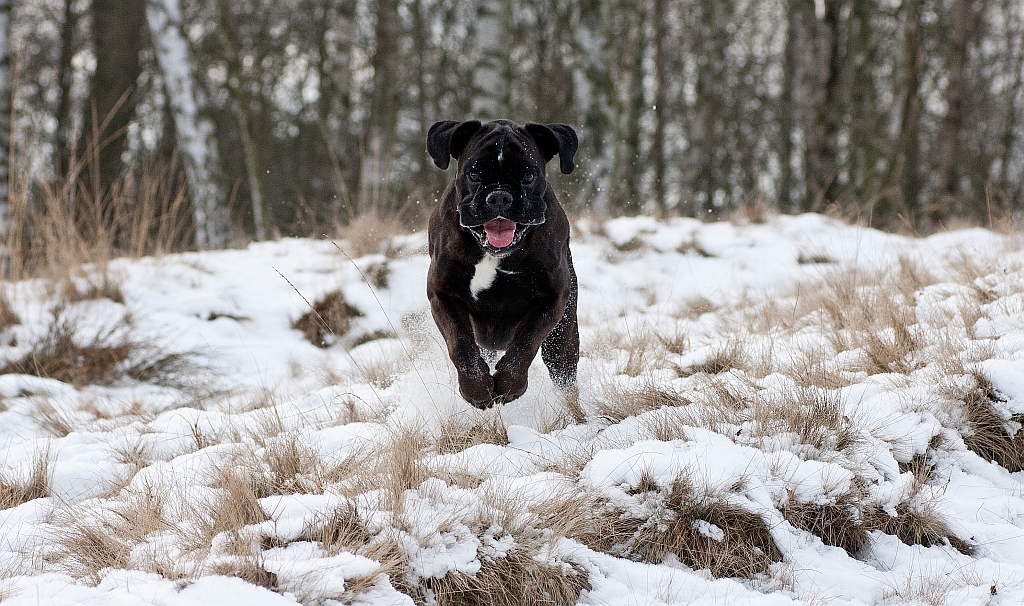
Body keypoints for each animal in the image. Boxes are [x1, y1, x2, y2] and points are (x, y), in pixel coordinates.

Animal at [423, 119, 581, 407]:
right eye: (474, 175)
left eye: (528, 176)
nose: (499, 197)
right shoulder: (443, 295)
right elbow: (461, 345)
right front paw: (477, 389)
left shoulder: (551, 299)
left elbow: (525, 343)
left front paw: (508, 386)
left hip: (562, 339)